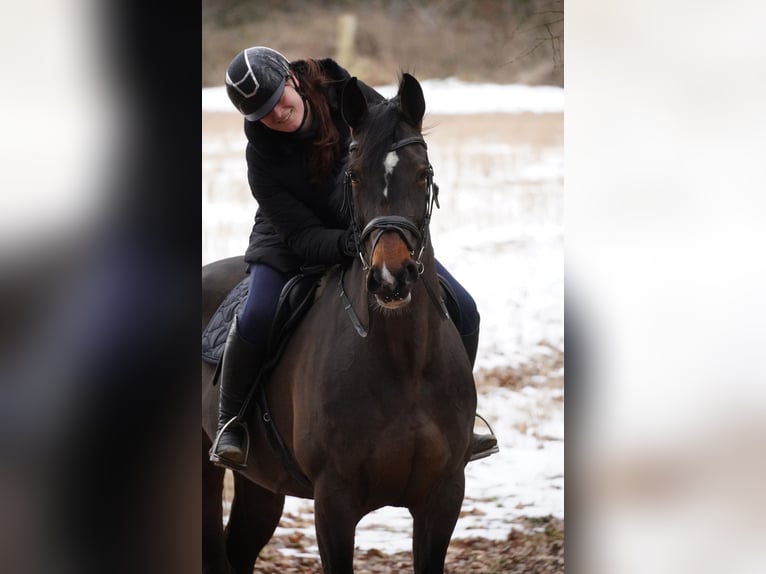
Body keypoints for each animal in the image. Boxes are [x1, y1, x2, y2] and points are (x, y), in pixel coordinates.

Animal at [204, 73, 480, 574]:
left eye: (423, 173)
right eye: (353, 176)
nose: (391, 278)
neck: (404, 364)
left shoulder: (444, 495)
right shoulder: (334, 503)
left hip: (260, 485)